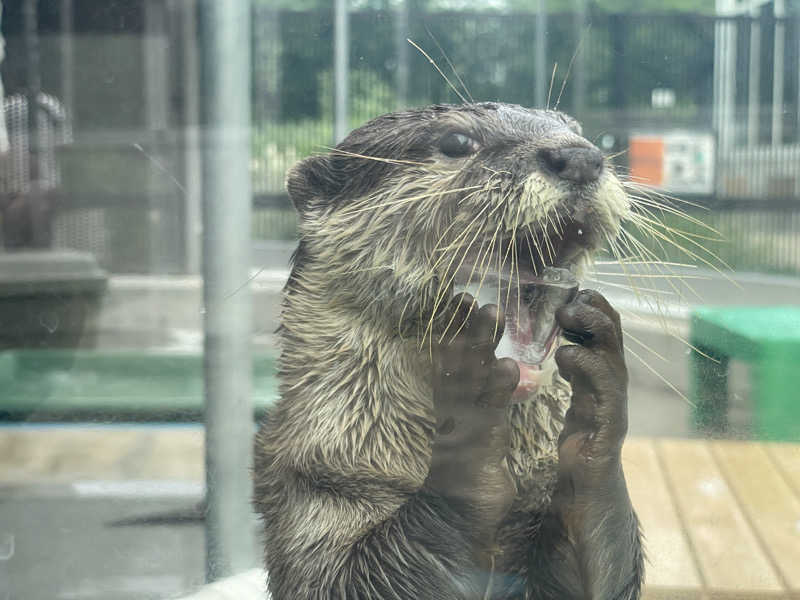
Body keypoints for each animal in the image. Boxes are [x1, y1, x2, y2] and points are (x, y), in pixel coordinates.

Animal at [255, 103, 644, 600]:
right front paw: (466, 396)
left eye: (577, 130)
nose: (579, 156)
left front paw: (601, 394)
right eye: (457, 142)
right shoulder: (313, 489)